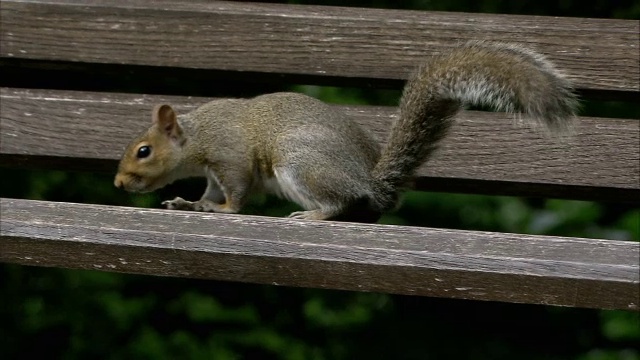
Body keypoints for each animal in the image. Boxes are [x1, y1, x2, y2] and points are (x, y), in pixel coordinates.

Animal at [112, 40, 576, 221]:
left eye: (143, 151)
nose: (117, 183)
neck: (197, 135)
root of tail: (373, 185)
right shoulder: (212, 172)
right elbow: (207, 192)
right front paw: (191, 203)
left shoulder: (230, 156)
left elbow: (239, 193)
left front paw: (223, 210)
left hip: (301, 161)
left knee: (343, 201)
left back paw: (313, 214)